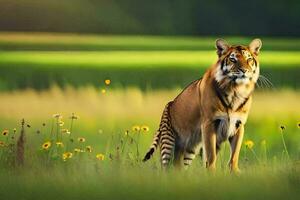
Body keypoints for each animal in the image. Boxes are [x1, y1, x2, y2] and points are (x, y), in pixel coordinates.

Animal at [142, 38, 262, 173]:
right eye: (233, 59)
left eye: (249, 59)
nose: (244, 70)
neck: (236, 90)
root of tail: (169, 104)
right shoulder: (209, 123)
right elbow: (211, 154)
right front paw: (212, 173)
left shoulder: (238, 124)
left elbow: (235, 154)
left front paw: (235, 172)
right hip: (168, 142)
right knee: (166, 166)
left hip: (189, 148)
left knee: (178, 166)